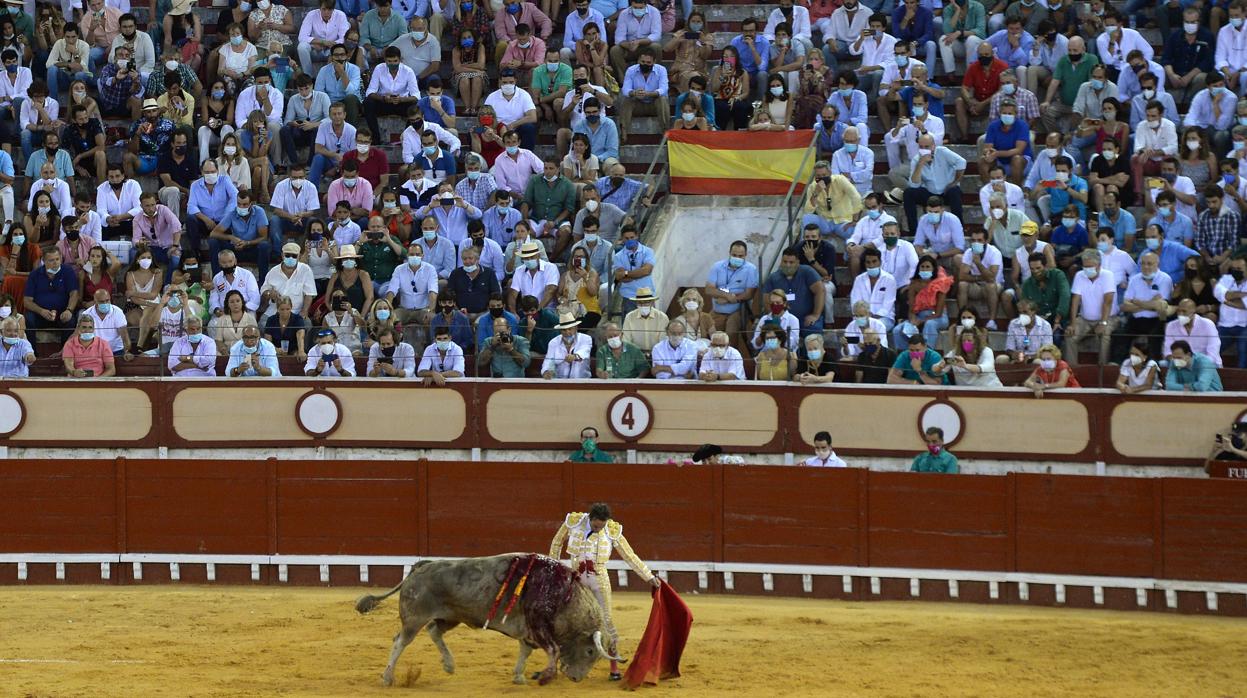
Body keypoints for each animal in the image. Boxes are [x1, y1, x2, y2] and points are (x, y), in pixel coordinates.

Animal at [351, 553, 623, 683]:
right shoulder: (538, 626)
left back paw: (449, 665)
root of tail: (420, 566)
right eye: (590, 651)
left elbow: (526, 650)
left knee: (434, 631)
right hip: (414, 618)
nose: (576, 678)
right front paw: (545, 676)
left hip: (451, 616)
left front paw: (519, 676)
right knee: (400, 641)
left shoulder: (528, 630)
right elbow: (553, 650)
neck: (564, 595)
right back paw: (388, 678)